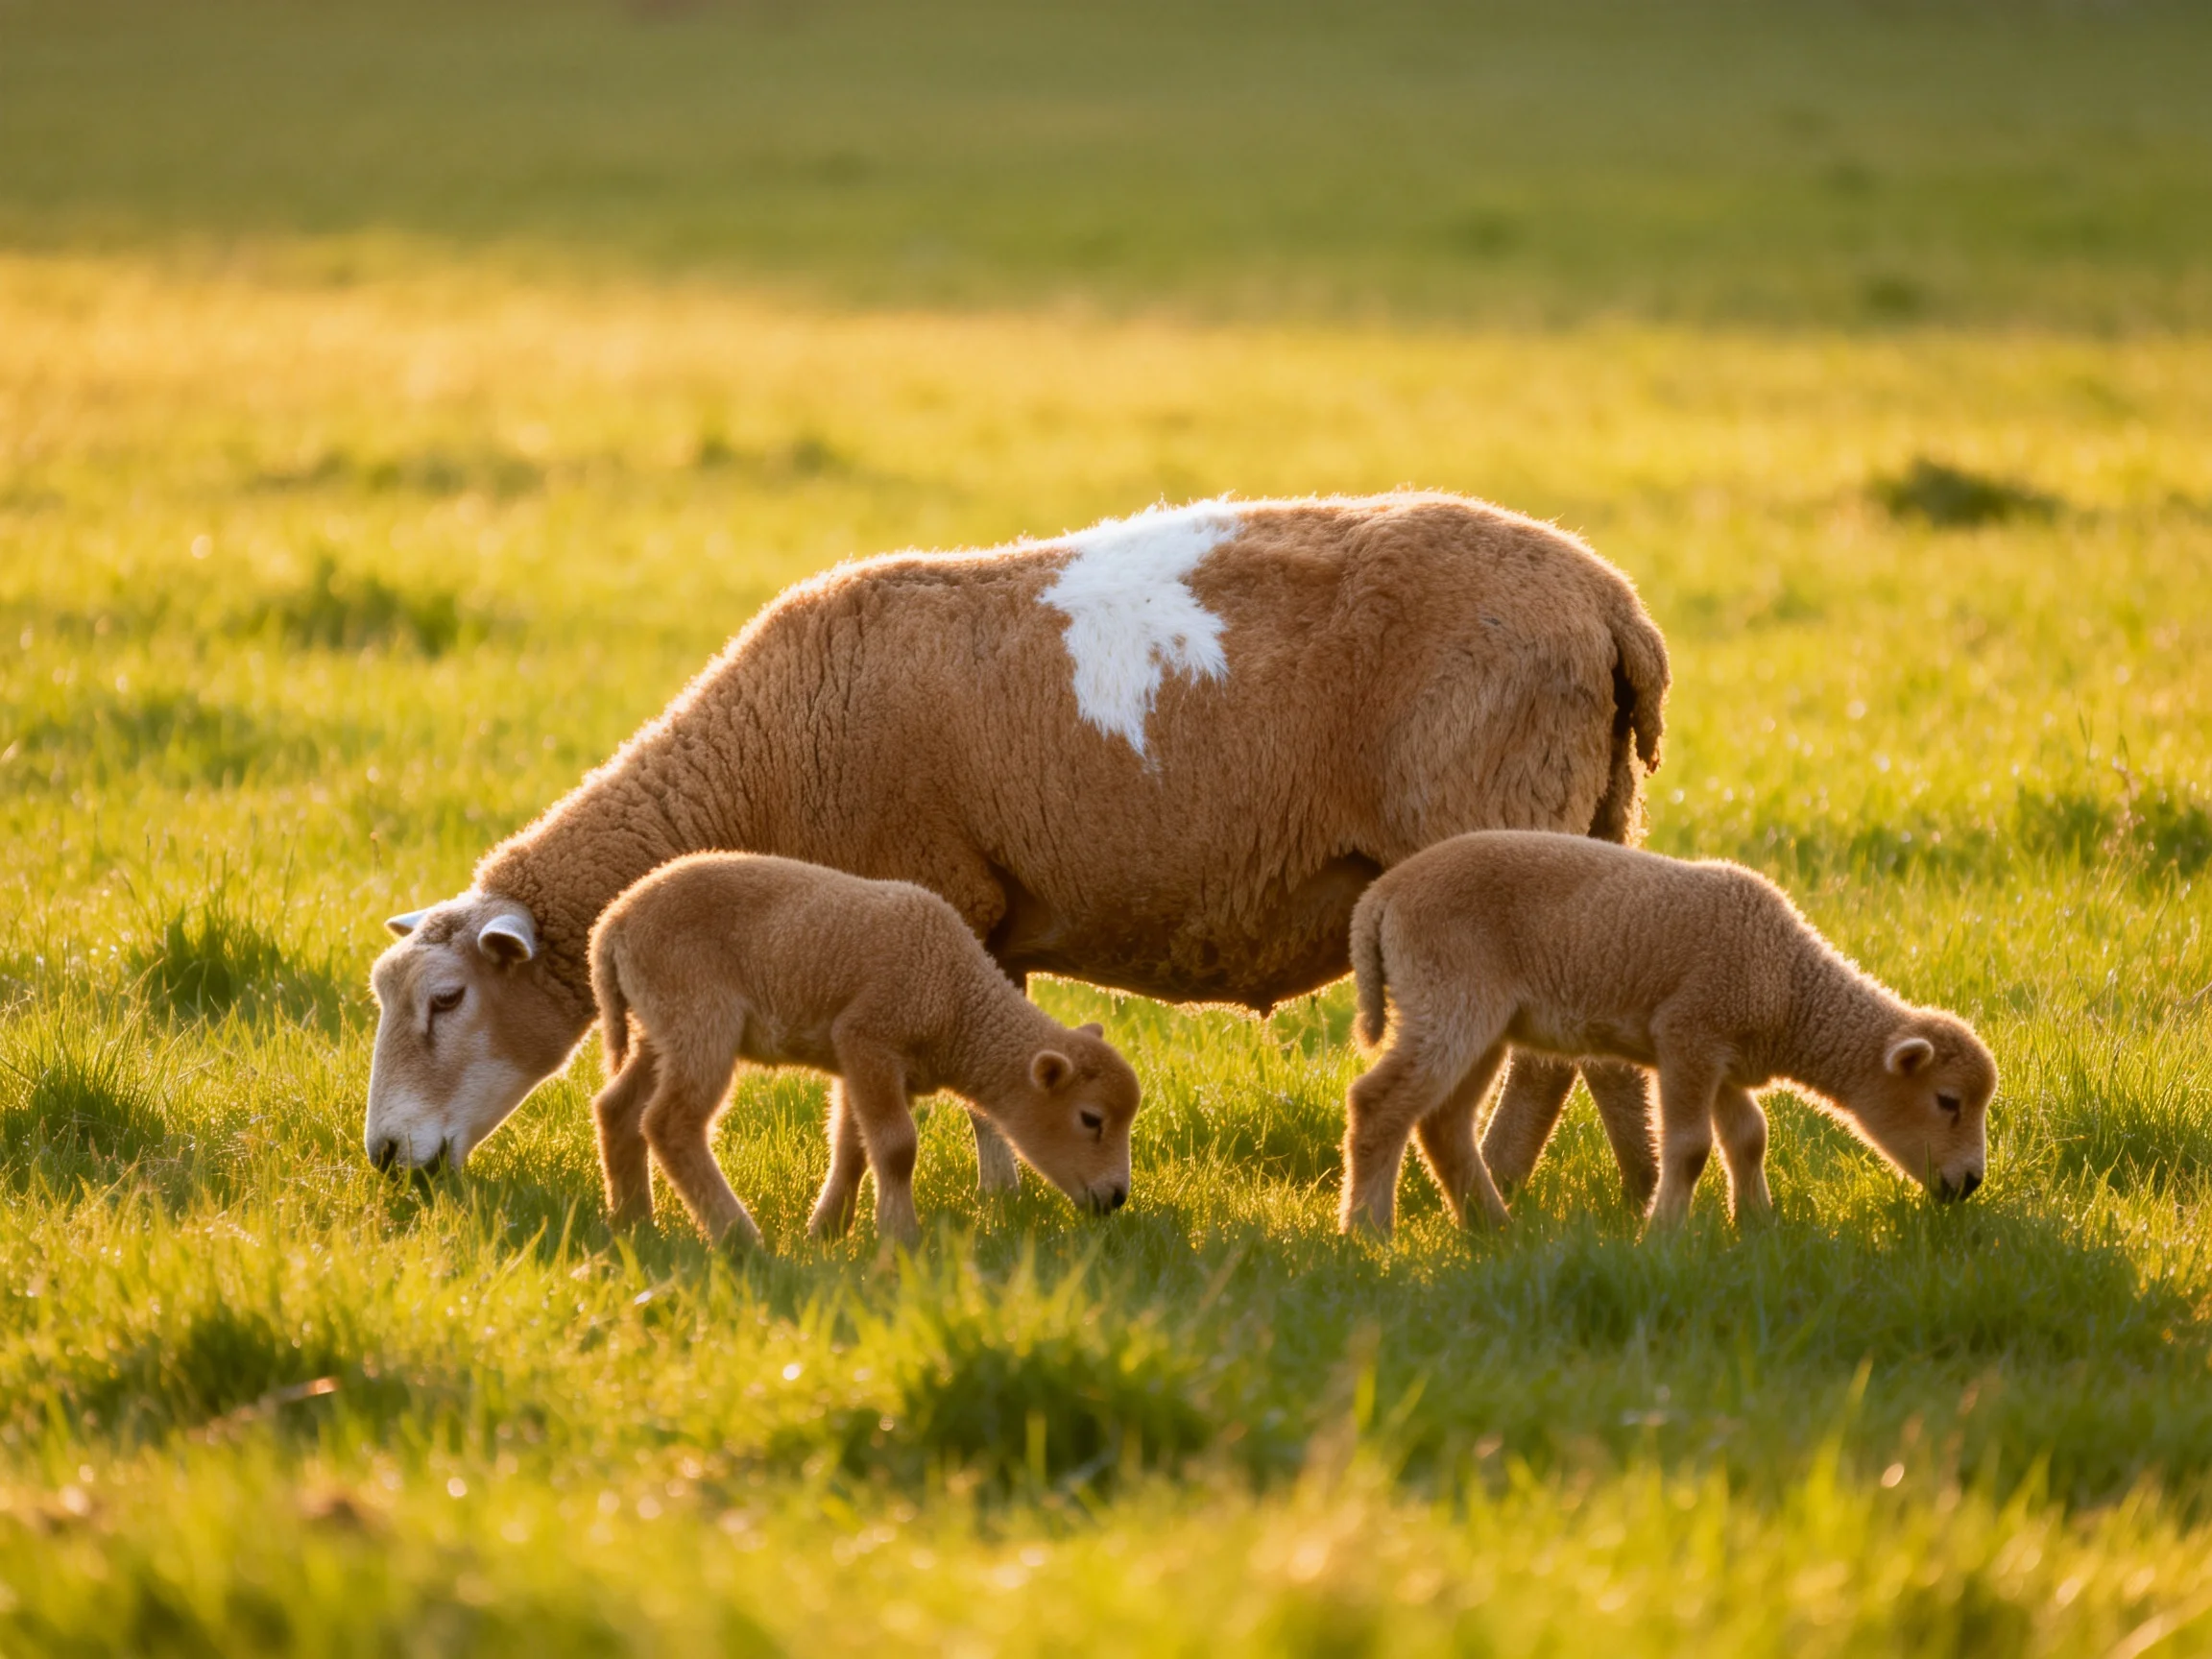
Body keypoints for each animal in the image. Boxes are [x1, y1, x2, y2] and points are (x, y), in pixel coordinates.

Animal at [364, 492, 1669, 1183]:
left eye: (445, 1001)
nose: (384, 1156)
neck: (762, 752)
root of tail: (1609, 602)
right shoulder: (981, 918)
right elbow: (998, 1052)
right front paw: (1014, 1196)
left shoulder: (925, 886)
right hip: (1593, 815)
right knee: (1580, 1050)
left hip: (1497, 827)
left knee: (1545, 1056)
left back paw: (1513, 1190)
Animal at [585, 852, 1141, 1247]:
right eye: (1091, 1119)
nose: (1116, 1198)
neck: (956, 998)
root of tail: (612, 926)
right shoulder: (869, 1039)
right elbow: (896, 1147)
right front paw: (899, 1237)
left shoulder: (866, 1061)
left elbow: (853, 1144)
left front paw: (826, 1230)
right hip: (700, 1016)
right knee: (670, 1122)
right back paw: (739, 1236)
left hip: (659, 1025)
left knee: (618, 1108)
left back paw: (634, 1223)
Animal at [1339, 831, 1996, 1237]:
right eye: (1948, 1101)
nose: (1969, 1184)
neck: (1788, 988)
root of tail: (1381, 898)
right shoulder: (1689, 1034)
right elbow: (1689, 1147)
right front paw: (1663, 1234)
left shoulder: (1722, 1057)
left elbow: (1749, 1137)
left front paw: (1757, 1225)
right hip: (1449, 994)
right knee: (1380, 1103)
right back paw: (1369, 1233)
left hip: (1482, 1020)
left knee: (1442, 1122)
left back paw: (1493, 1229)